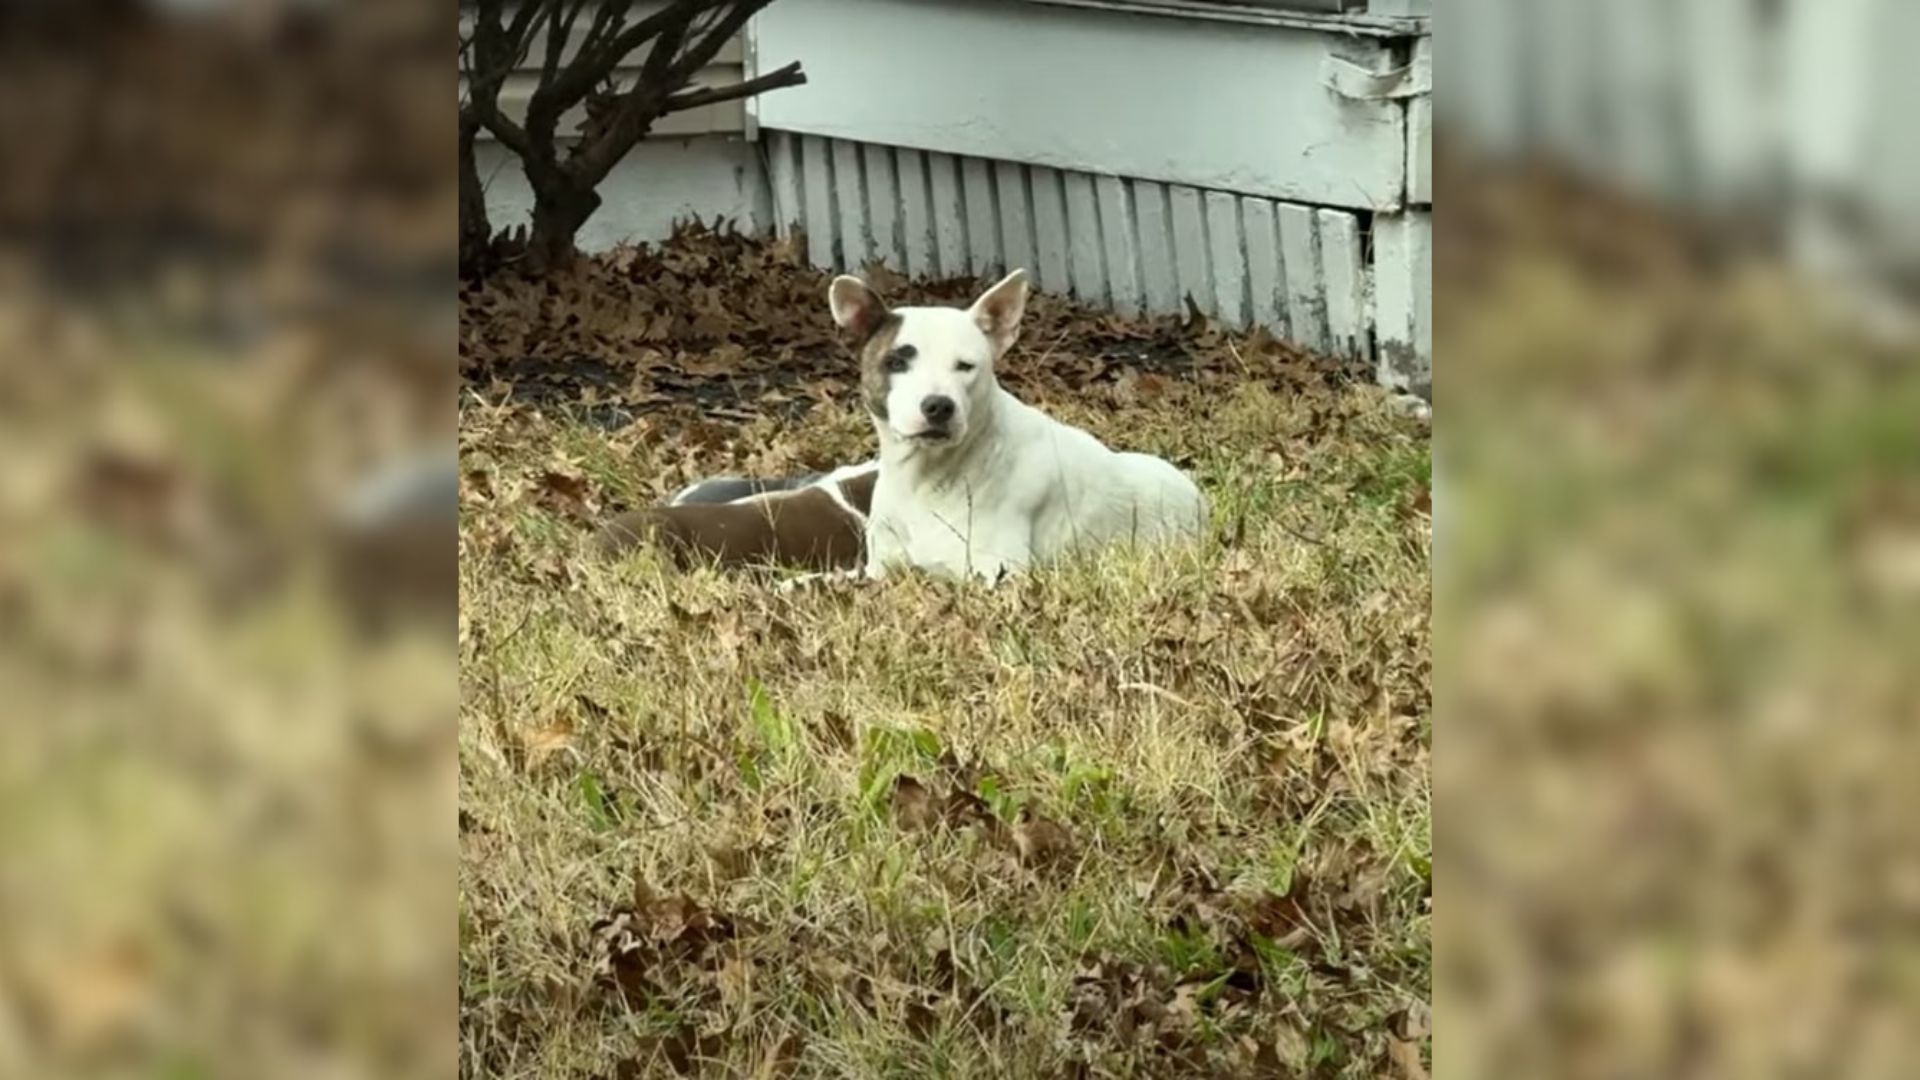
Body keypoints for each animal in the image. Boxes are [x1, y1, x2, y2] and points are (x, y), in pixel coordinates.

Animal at [829, 267, 1213, 580]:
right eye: (896, 362)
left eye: (965, 366)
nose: (938, 406)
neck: (925, 477)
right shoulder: (880, 570)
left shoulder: (997, 574)